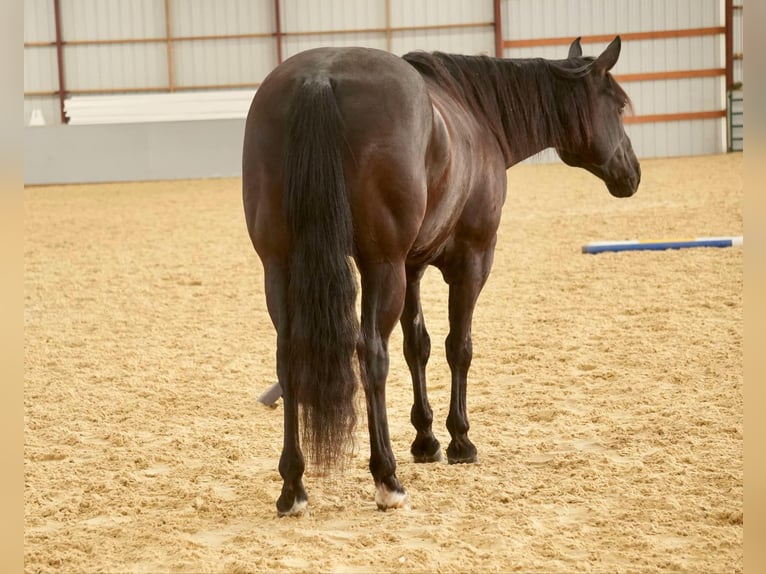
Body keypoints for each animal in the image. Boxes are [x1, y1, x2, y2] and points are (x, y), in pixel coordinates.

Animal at [243, 39, 640, 516]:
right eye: (619, 105)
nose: (633, 173)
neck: (477, 115)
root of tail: (320, 78)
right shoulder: (471, 261)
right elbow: (458, 347)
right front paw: (459, 440)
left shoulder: (411, 267)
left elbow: (418, 346)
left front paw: (426, 439)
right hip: (380, 266)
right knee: (371, 354)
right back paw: (387, 478)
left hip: (281, 266)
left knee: (289, 358)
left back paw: (293, 487)